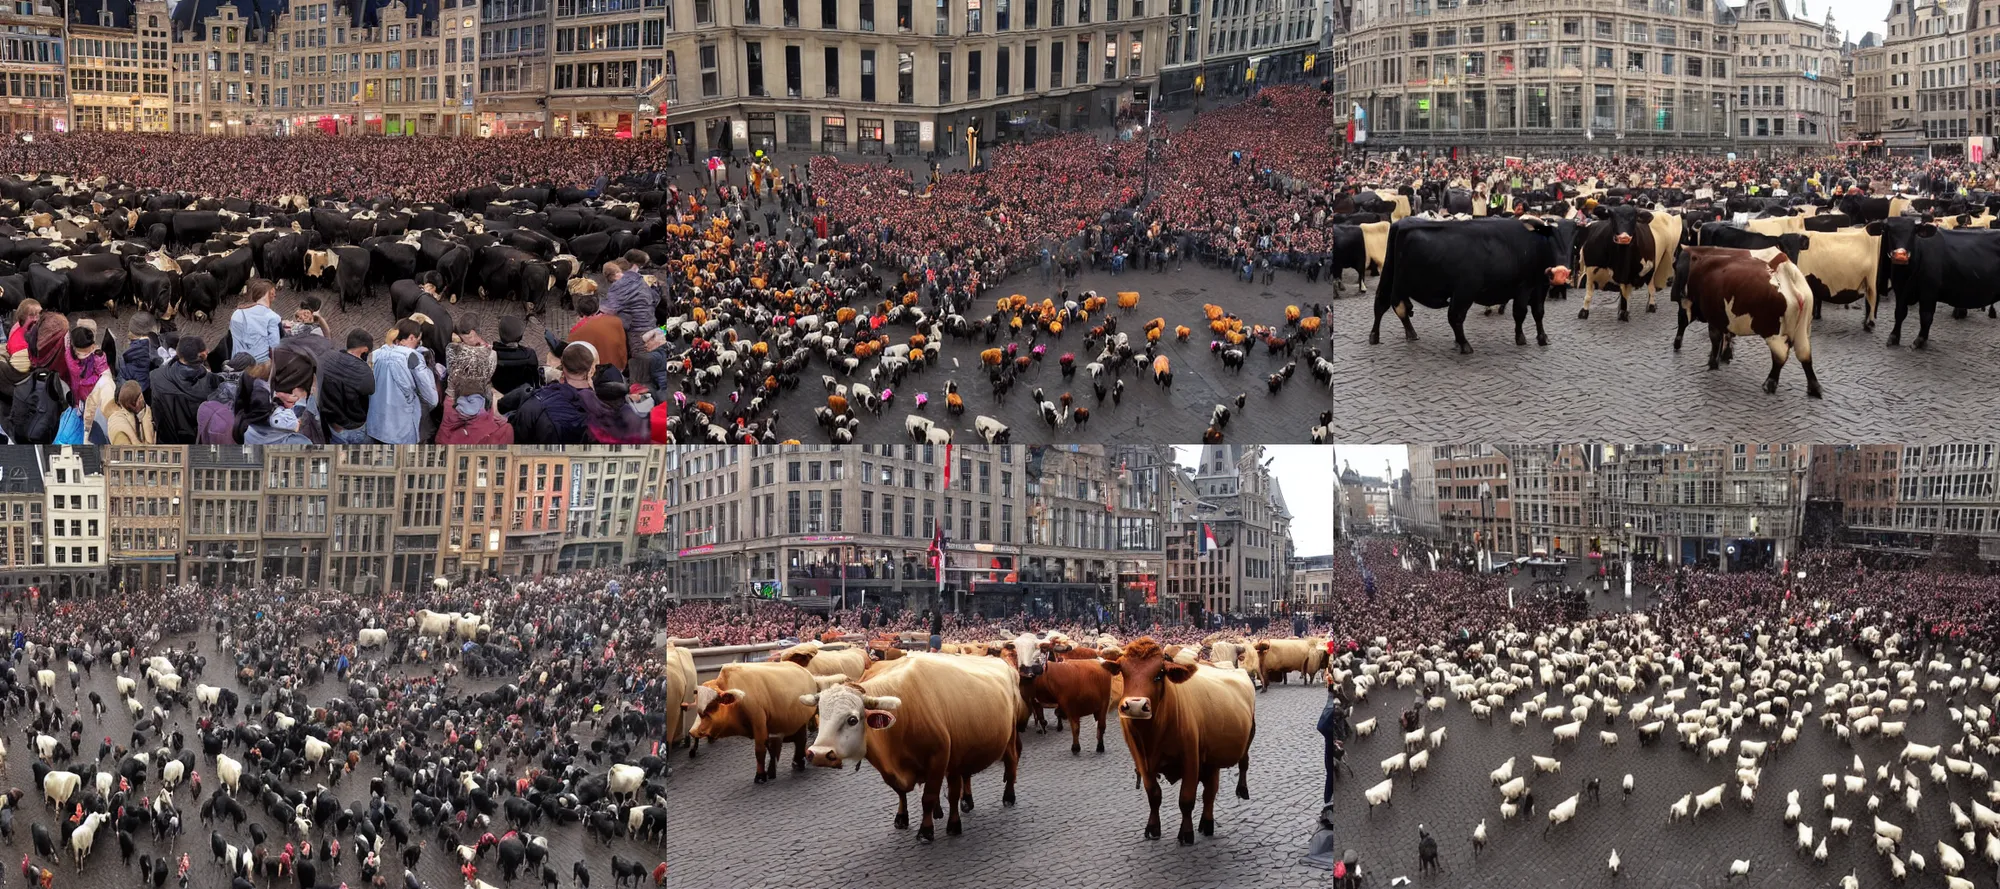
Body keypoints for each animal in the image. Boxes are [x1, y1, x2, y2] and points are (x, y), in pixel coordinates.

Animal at [684, 660, 816, 784]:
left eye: (711, 705)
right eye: (698, 707)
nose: (692, 731)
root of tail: (805, 672)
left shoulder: (759, 722)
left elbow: (759, 751)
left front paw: (760, 776)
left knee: (801, 740)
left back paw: (799, 761)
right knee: (799, 740)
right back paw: (799, 760)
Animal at [796, 652, 1024, 840]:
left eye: (852, 719)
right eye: (820, 713)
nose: (819, 754)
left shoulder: (939, 757)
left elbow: (929, 797)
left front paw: (929, 830)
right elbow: (902, 792)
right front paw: (902, 817)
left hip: (1009, 735)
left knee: (1011, 760)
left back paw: (1008, 797)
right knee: (965, 774)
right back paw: (965, 801)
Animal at [1104, 636, 1256, 844]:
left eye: (1159, 674)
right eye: (1123, 672)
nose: (1136, 706)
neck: (1152, 735)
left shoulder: (1190, 758)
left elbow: (1186, 799)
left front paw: (1186, 833)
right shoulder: (1141, 761)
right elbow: (1153, 795)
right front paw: (1153, 827)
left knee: (1235, 770)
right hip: (1212, 758)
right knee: (1210, 792)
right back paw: (1206, 822)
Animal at [1376, 216, 1576, 354]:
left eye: (1573, 243)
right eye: (1552, 238)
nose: (1561, 272)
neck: (1534, 245)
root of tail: (1404, 224)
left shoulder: (1540, 287)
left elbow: (1538, 313)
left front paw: (1543, 338)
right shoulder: (1524, 287)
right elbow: (1520, 313)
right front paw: (1521, 338)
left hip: (1392, 278)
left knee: (1387, 304)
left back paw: (1387, 335)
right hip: (1463, 291)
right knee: (1453, 316)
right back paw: (1464, 345)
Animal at [1680, 243, 1824, 396]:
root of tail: (1785, 271)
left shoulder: (1713, 318)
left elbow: (1715, 339)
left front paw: (1713, 363)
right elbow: (1726, 336)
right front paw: (1725, 356)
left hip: (1772, 332)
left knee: (1780, 355)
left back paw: (1770, 383)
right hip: (1802, 330)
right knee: (1805, 355)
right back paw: (1814, 387)